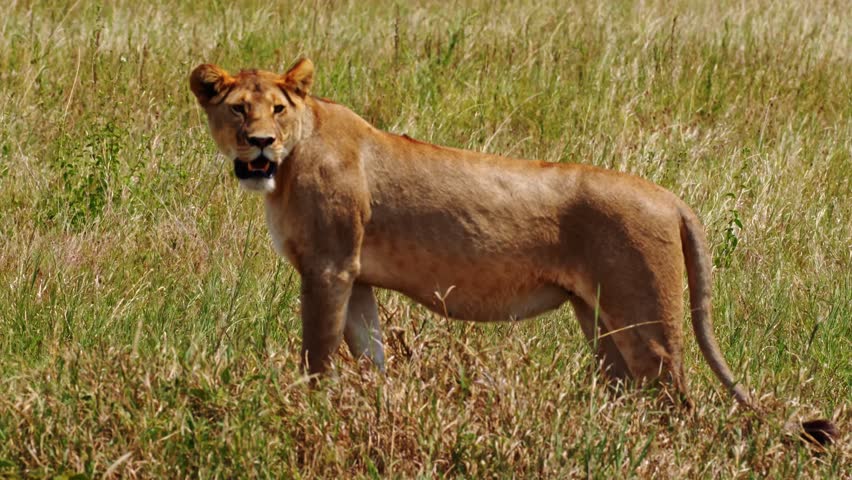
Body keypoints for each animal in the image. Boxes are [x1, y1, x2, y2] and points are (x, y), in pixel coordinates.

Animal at [189, 58, 836, 445]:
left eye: (278, 109)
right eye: (237, 108)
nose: (259, 143)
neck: (290, 163)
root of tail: (671, 197)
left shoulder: (328, 266)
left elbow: (317, 357)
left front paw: (311, 414)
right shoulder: (356, 276)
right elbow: (372, 356)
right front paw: (377, 411)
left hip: (647, 318)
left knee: (678, 402)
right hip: (600, 320)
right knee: (629, 395)